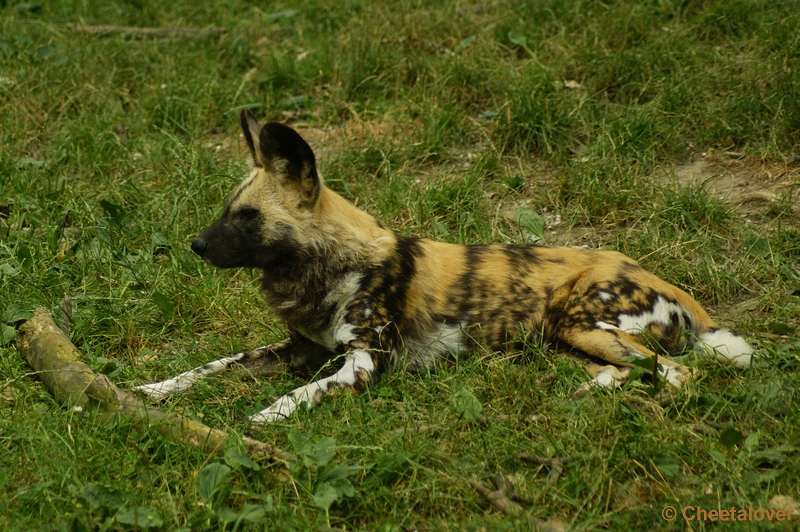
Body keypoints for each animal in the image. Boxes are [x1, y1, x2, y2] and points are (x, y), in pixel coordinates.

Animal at [134, 110, 752, 422]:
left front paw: (260, 418)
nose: (195, 245)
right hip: (566, 335)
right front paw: (149, 391)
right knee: (633, 369)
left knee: (678, 376)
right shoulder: (299, 349)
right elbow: (210, 367)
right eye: (226, 210)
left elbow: (298, 395)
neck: (327, 268)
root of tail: (669, 284)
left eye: (247, 217)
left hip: (579, 320)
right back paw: (582, 392)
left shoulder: (363, 365)